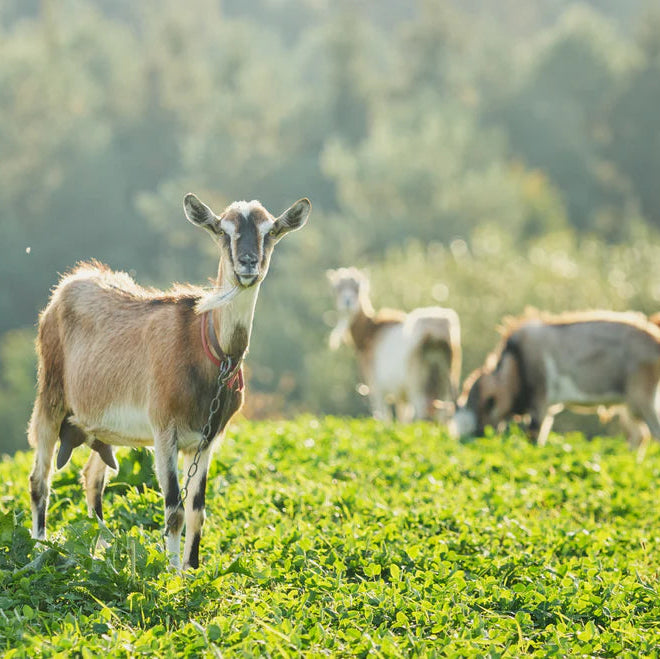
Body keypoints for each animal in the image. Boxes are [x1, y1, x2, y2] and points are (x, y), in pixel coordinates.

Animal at [28, 193, 311, 569]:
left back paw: (100, 551)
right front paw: (171, 573)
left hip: (103, 428)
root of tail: (64, 288)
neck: (209, 349)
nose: (248, 264)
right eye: (223, 231)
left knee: (92, 479)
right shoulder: (164, 430)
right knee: (39, 480)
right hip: (50, 398)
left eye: (270, 232)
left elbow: (196, 510)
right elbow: (174, 509)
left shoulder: (207, 439)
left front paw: (192, 569)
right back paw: (39, 551)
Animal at [326, 267, 461, 422]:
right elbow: (402, 421)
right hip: (448, 378)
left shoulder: (376, 387)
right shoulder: (401, 396)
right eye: (336, 288)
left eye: (357, 288)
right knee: (444, 412)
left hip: (417, 381)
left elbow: (385, 419)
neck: (369, 332)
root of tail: (436, 331)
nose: (347, 302)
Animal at [454, 310, 660, 452]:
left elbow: (534, 435)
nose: (479, 435)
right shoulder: (549, 409)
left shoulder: (540, 400)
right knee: (639, 435)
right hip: (629, 405)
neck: (516, 362)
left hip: (642, 397)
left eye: (486, 405)